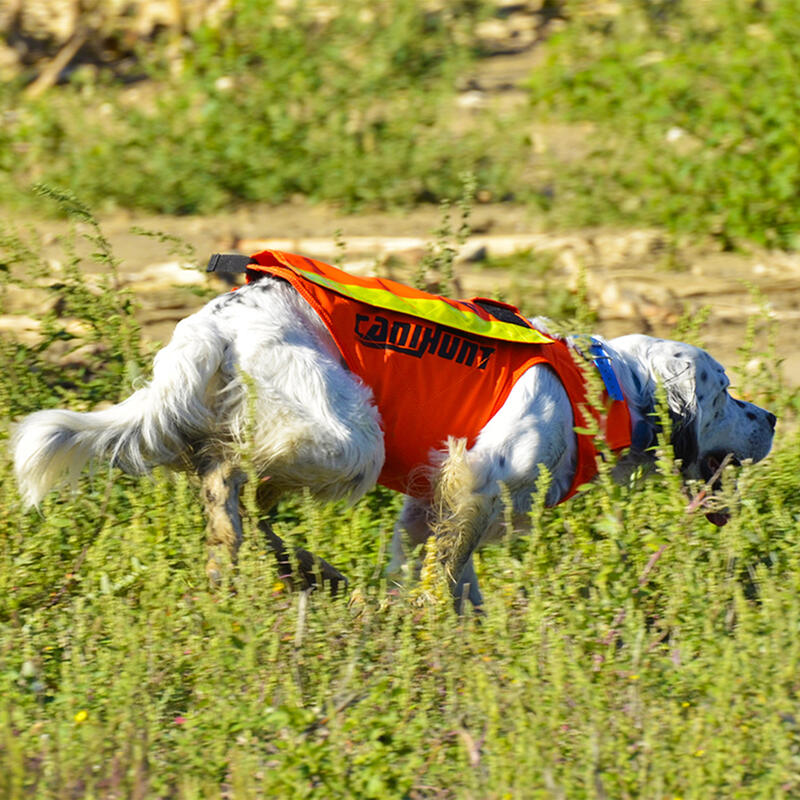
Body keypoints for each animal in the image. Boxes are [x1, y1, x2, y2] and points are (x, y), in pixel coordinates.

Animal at [10, 262, 776, 608]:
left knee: (223, 495)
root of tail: (218, 318)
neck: (601, 389)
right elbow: (448, 570)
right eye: (724, 391)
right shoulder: (480, 477)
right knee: (245, 473)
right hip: (350, 436)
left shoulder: (429, 499)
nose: (771, 418)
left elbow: (435, 568)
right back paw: (299, 559)